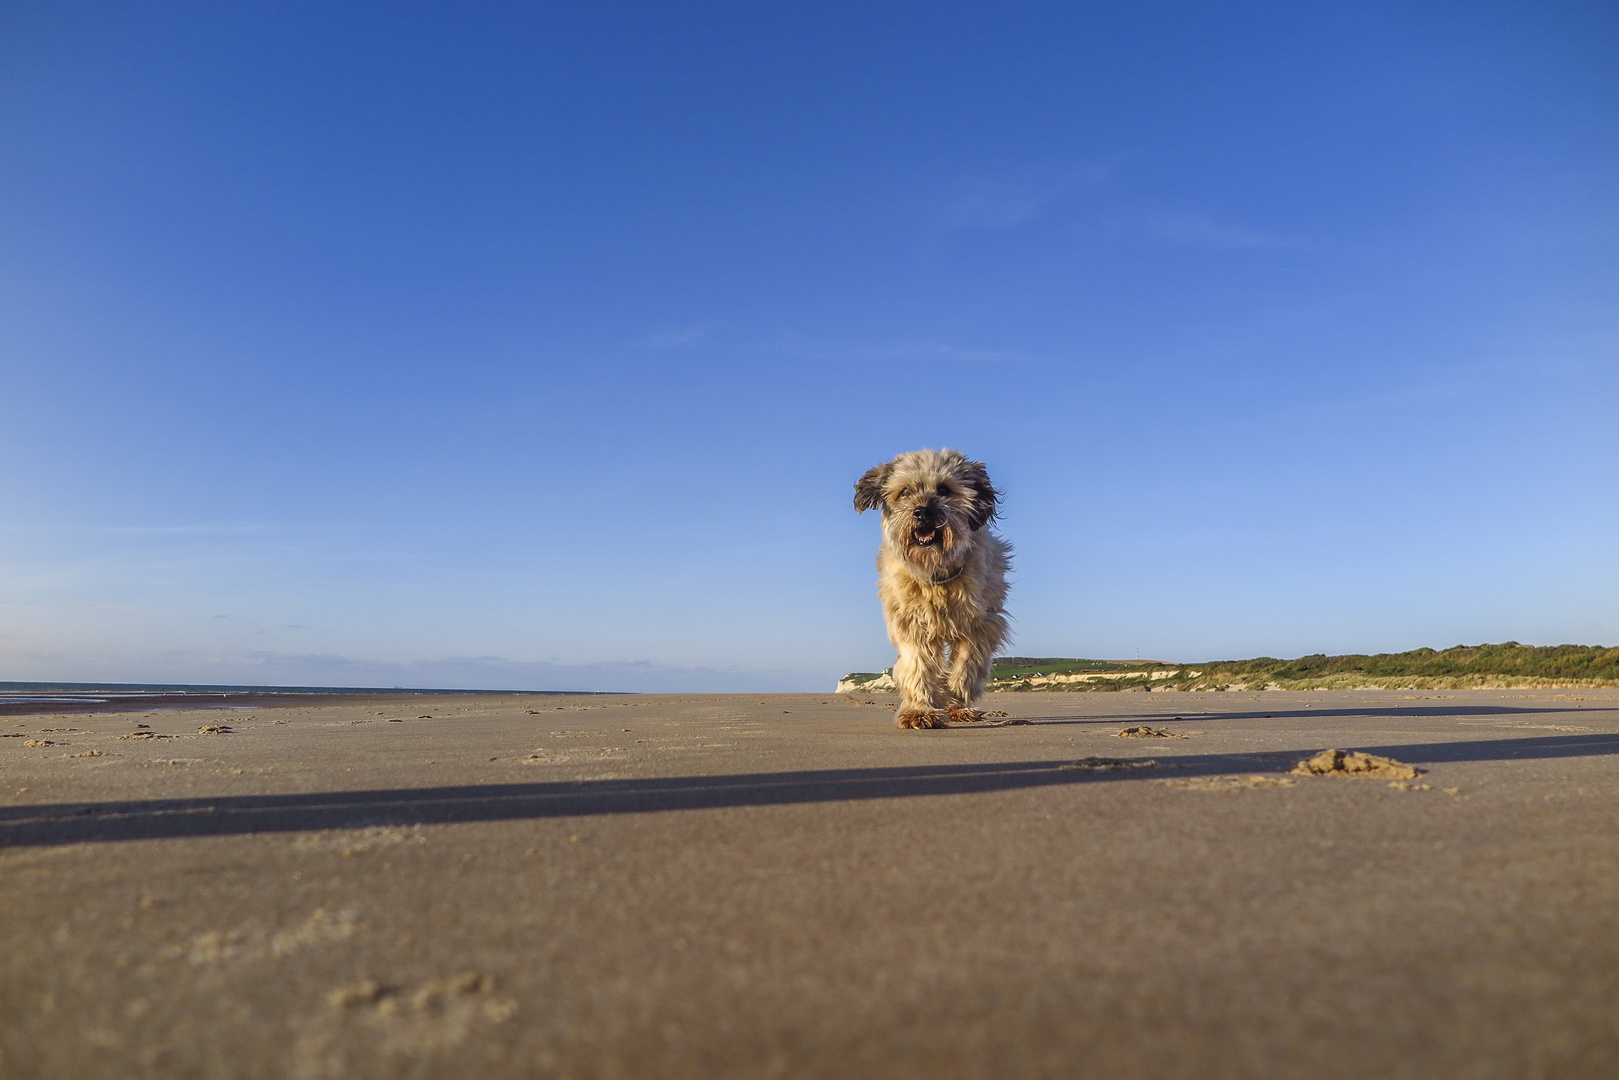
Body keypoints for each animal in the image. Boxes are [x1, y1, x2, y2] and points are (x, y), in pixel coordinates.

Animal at [854, 443, 1003, 731]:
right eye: (904, 492)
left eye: (944, 489)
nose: (922, 512)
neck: (936, 574)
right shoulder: (912, 623)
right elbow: (918, 665)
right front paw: (921, 711)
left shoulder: (980, 623)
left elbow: (967, 662)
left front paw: (954, 693)